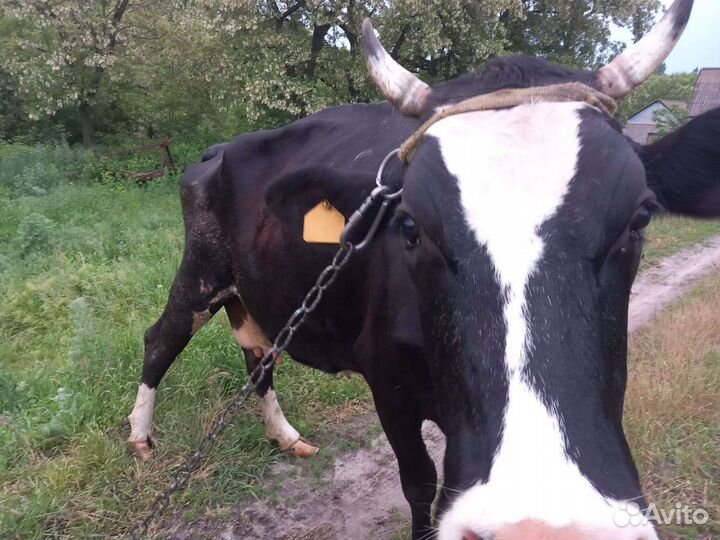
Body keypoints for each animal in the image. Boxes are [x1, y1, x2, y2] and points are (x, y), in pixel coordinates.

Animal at [126, 0, 720, 538]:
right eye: (409, 224)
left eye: (641, 215)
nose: (541, 528)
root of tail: (220, 148)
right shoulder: (388, 384)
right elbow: (419, 485)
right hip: (202, 271)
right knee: (162, 338)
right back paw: (139, 439)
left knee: (258, 354)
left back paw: (287, 437)